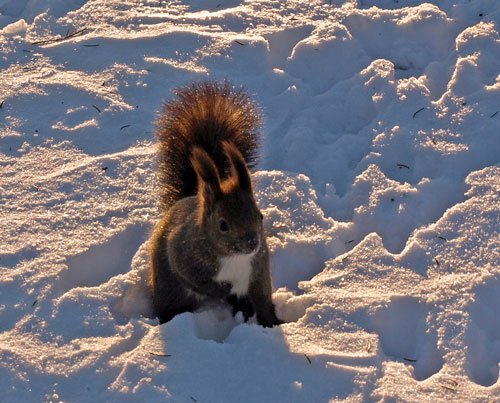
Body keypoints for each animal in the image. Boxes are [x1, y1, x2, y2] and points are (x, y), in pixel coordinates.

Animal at [148, 79, 282, 328]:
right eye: (223, 225)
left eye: (260, 216)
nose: (252, 243)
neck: (234, 257)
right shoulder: (184, 256)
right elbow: (197, 280)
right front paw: (224, 289)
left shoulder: (258, 271)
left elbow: (263, 301)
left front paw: (271, 324)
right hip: (167, 290)